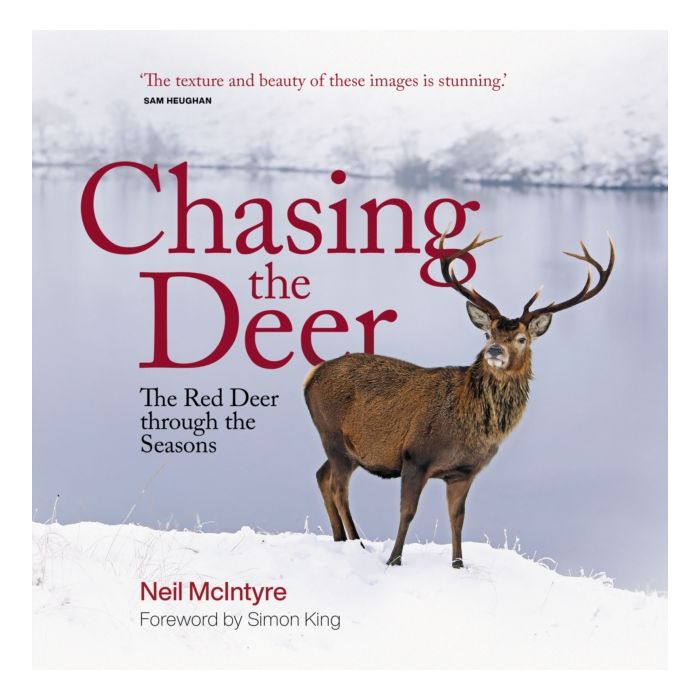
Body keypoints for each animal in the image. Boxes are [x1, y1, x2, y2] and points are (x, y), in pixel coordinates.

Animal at [303, 231, 615, 567]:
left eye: (522, 338)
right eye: (488, 334)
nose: (495, 351)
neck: (467, 424)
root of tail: (310, 377)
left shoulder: (464, 472)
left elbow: (458, 518)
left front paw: (458, 564)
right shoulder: (415, 455)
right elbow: (407, 512)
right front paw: (394, 560)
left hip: (347, 449)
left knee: (321, 475)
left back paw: (342, 539)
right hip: (333, 436)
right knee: (338, 487)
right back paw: (357, 543)